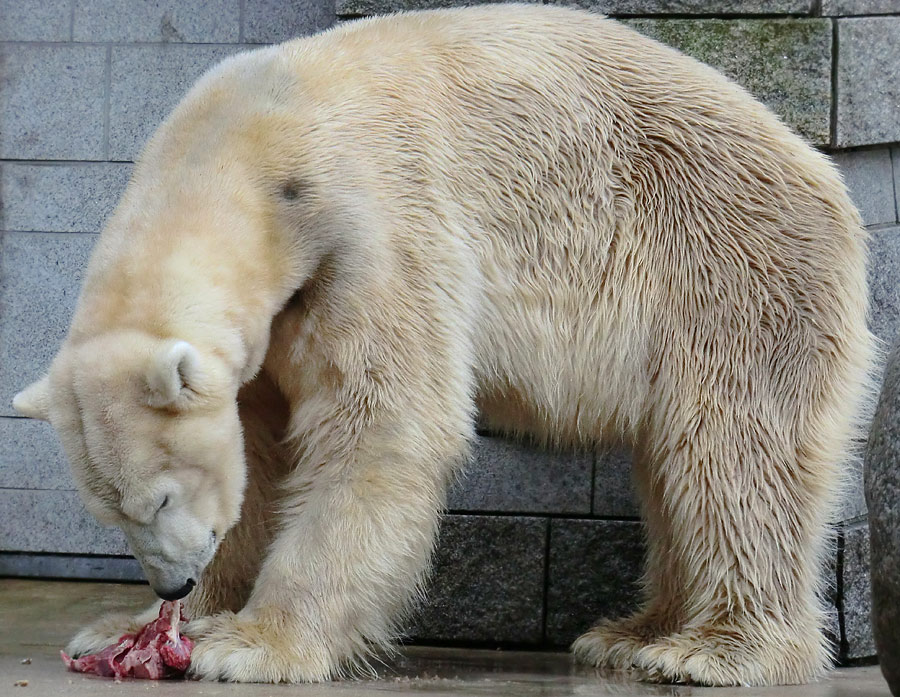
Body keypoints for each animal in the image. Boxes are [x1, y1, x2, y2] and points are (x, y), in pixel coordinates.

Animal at [14, 4, 872, 684]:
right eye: (110, 510)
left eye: (159, 497)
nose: (171, 587)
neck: (253, 146)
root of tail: (824, 178)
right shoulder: (274, 314)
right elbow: (255, 452)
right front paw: (135, 626)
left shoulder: (370, 229)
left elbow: (381, 424)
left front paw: (251, 643)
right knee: (674, 464)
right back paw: (631, 632)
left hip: (729, 268)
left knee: (733, 450)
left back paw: (713, 650)